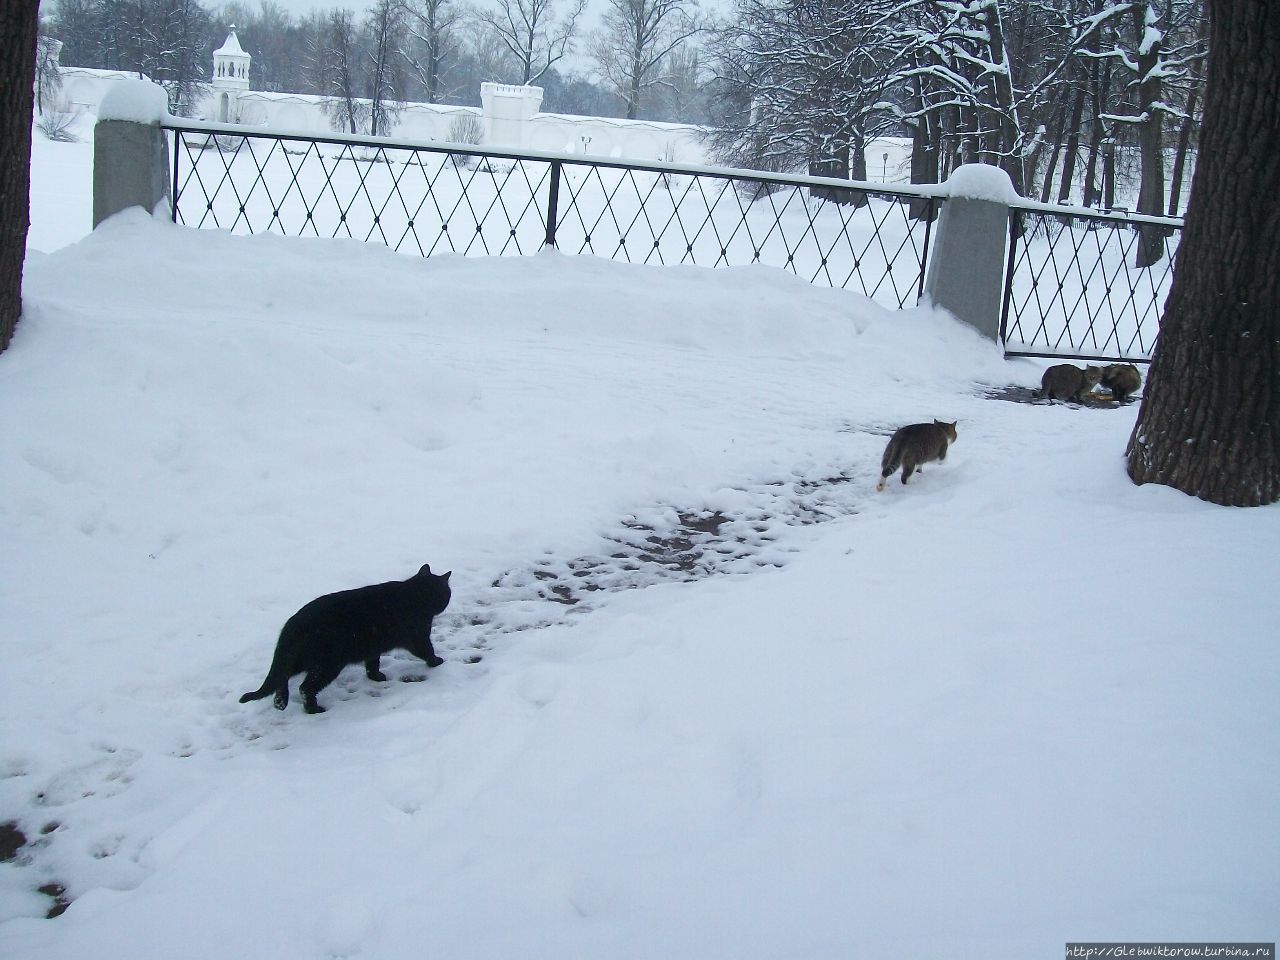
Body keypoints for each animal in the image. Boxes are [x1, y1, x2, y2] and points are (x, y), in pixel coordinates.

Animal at [238, 563, 453, 716]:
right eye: (446, 593)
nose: (445, 602)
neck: (415, 595)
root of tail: (292, 626)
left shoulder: (373, 646)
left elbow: (372, 663)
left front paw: (376, 677)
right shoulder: (417, 636)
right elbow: (427, 650)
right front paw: (437, 662)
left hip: (300, 660)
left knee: (282, 676)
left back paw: (280, 702)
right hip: (328, 664)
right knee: (304, 687)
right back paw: (313, 710)